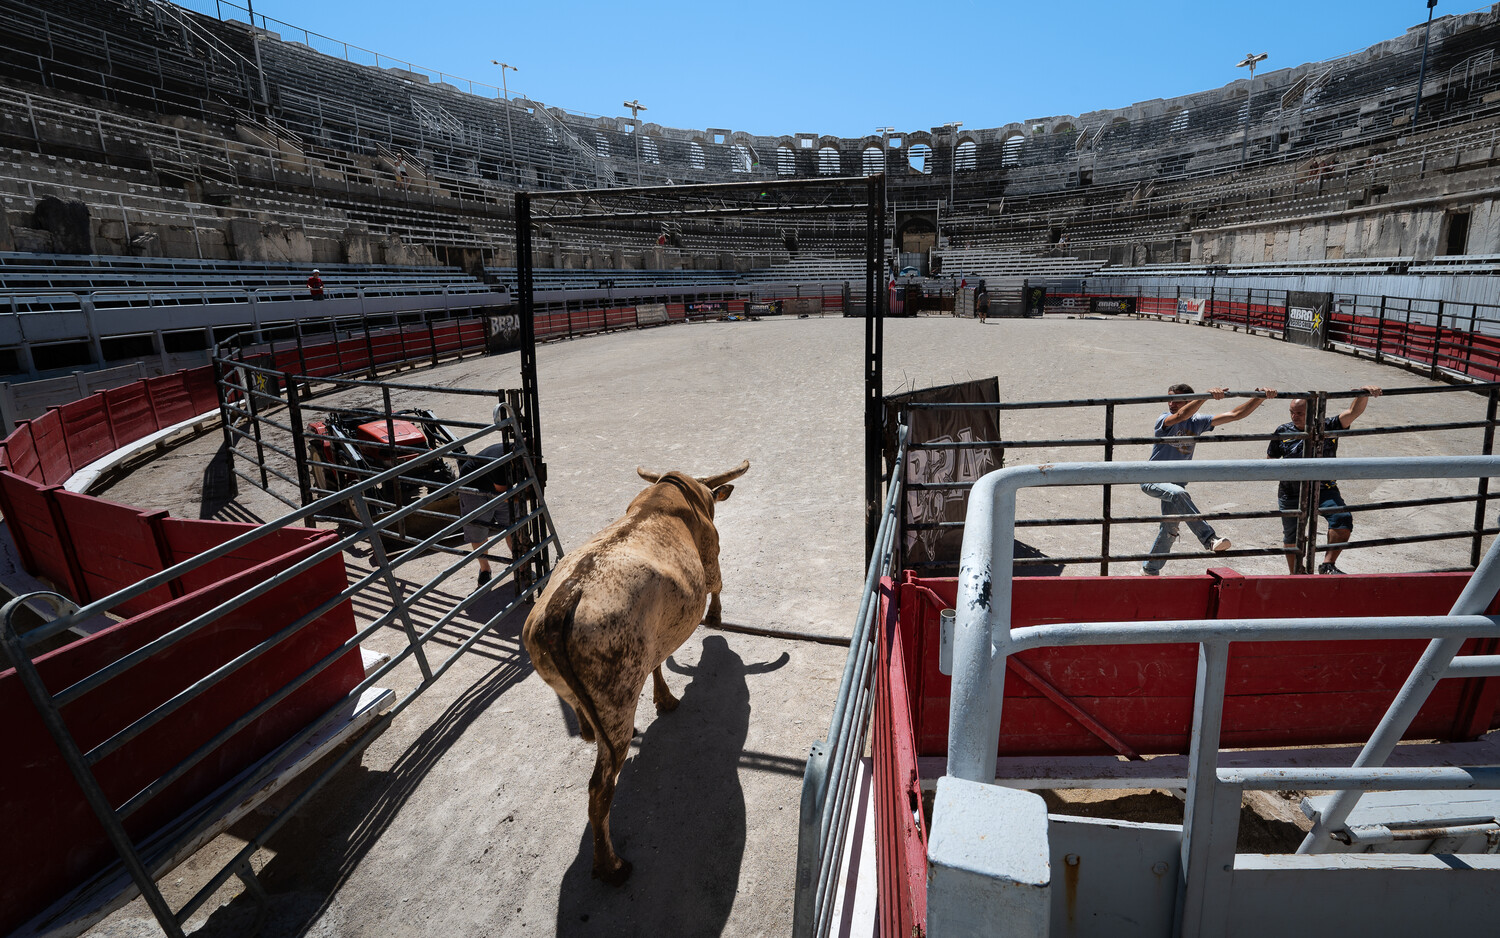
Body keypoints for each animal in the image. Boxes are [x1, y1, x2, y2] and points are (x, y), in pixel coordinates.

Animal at [521, 459, 750, 885]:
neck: (672, 494)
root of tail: (564, 601)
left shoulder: (654, 637)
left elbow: (658, 661)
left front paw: (665, 698)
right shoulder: (712, 555)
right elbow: (717, 585)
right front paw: (715, 617)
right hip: (617, 693)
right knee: (599, 791)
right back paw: (610, 866)